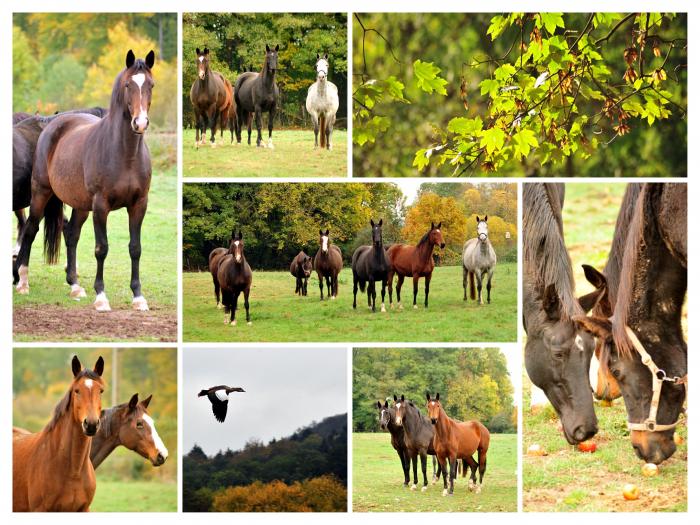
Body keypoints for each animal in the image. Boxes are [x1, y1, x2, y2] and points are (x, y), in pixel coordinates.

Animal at [13, 48, 156, 312]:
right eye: (128, 84)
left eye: (150, 84)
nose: (140, 123)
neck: (125, 154)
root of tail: (52, 124)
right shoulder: (101, 206)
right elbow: (102, 248)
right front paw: (101, 296)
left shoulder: (139, 205)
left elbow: (135, 248)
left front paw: (138, 297)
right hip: (41, 194)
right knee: (30, 229)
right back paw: (23, 282)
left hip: (80, 205)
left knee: (71, 235)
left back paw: (75, 286)